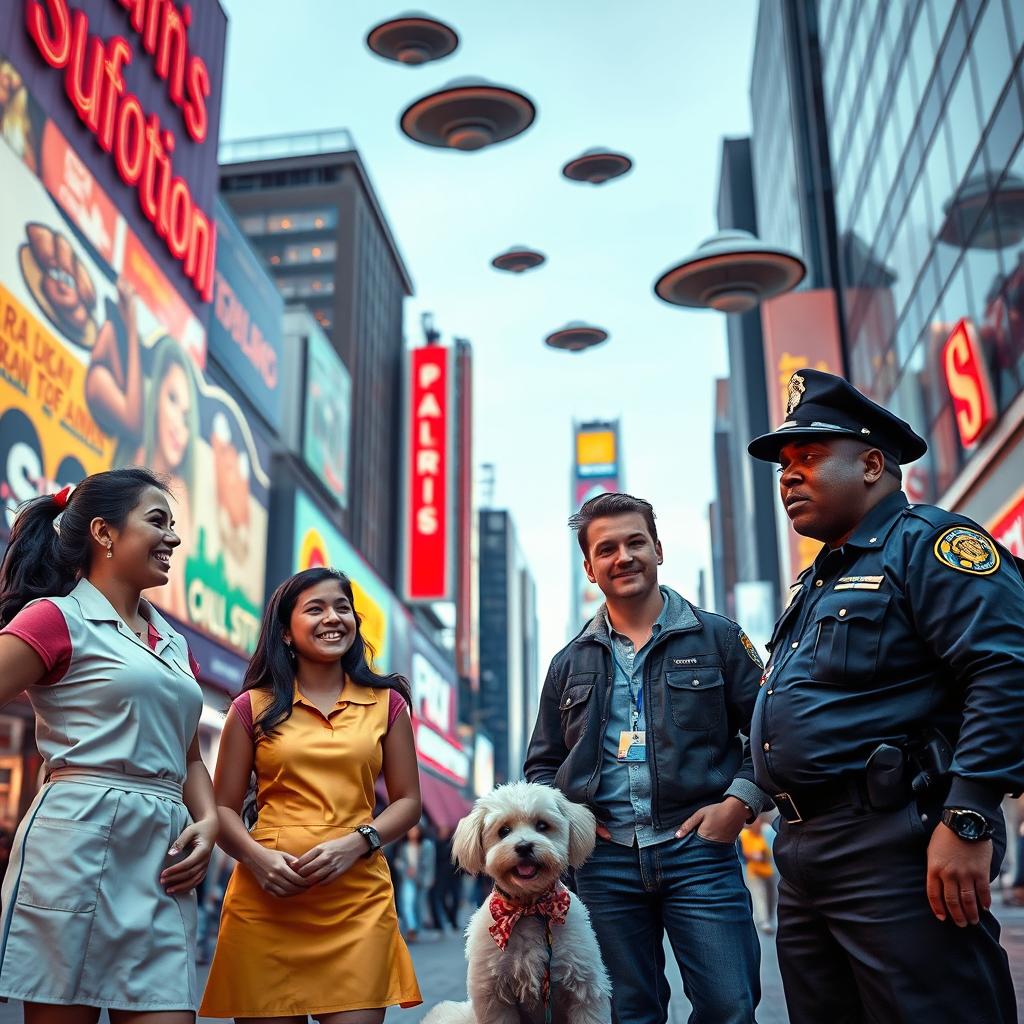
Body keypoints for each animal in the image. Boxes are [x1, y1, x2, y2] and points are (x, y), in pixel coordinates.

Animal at [421, 778, 606, 1019]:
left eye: (542, 826)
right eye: (504, 831)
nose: (524, 846)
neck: (529, 908)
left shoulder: (585, 990)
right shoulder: (495, 997)